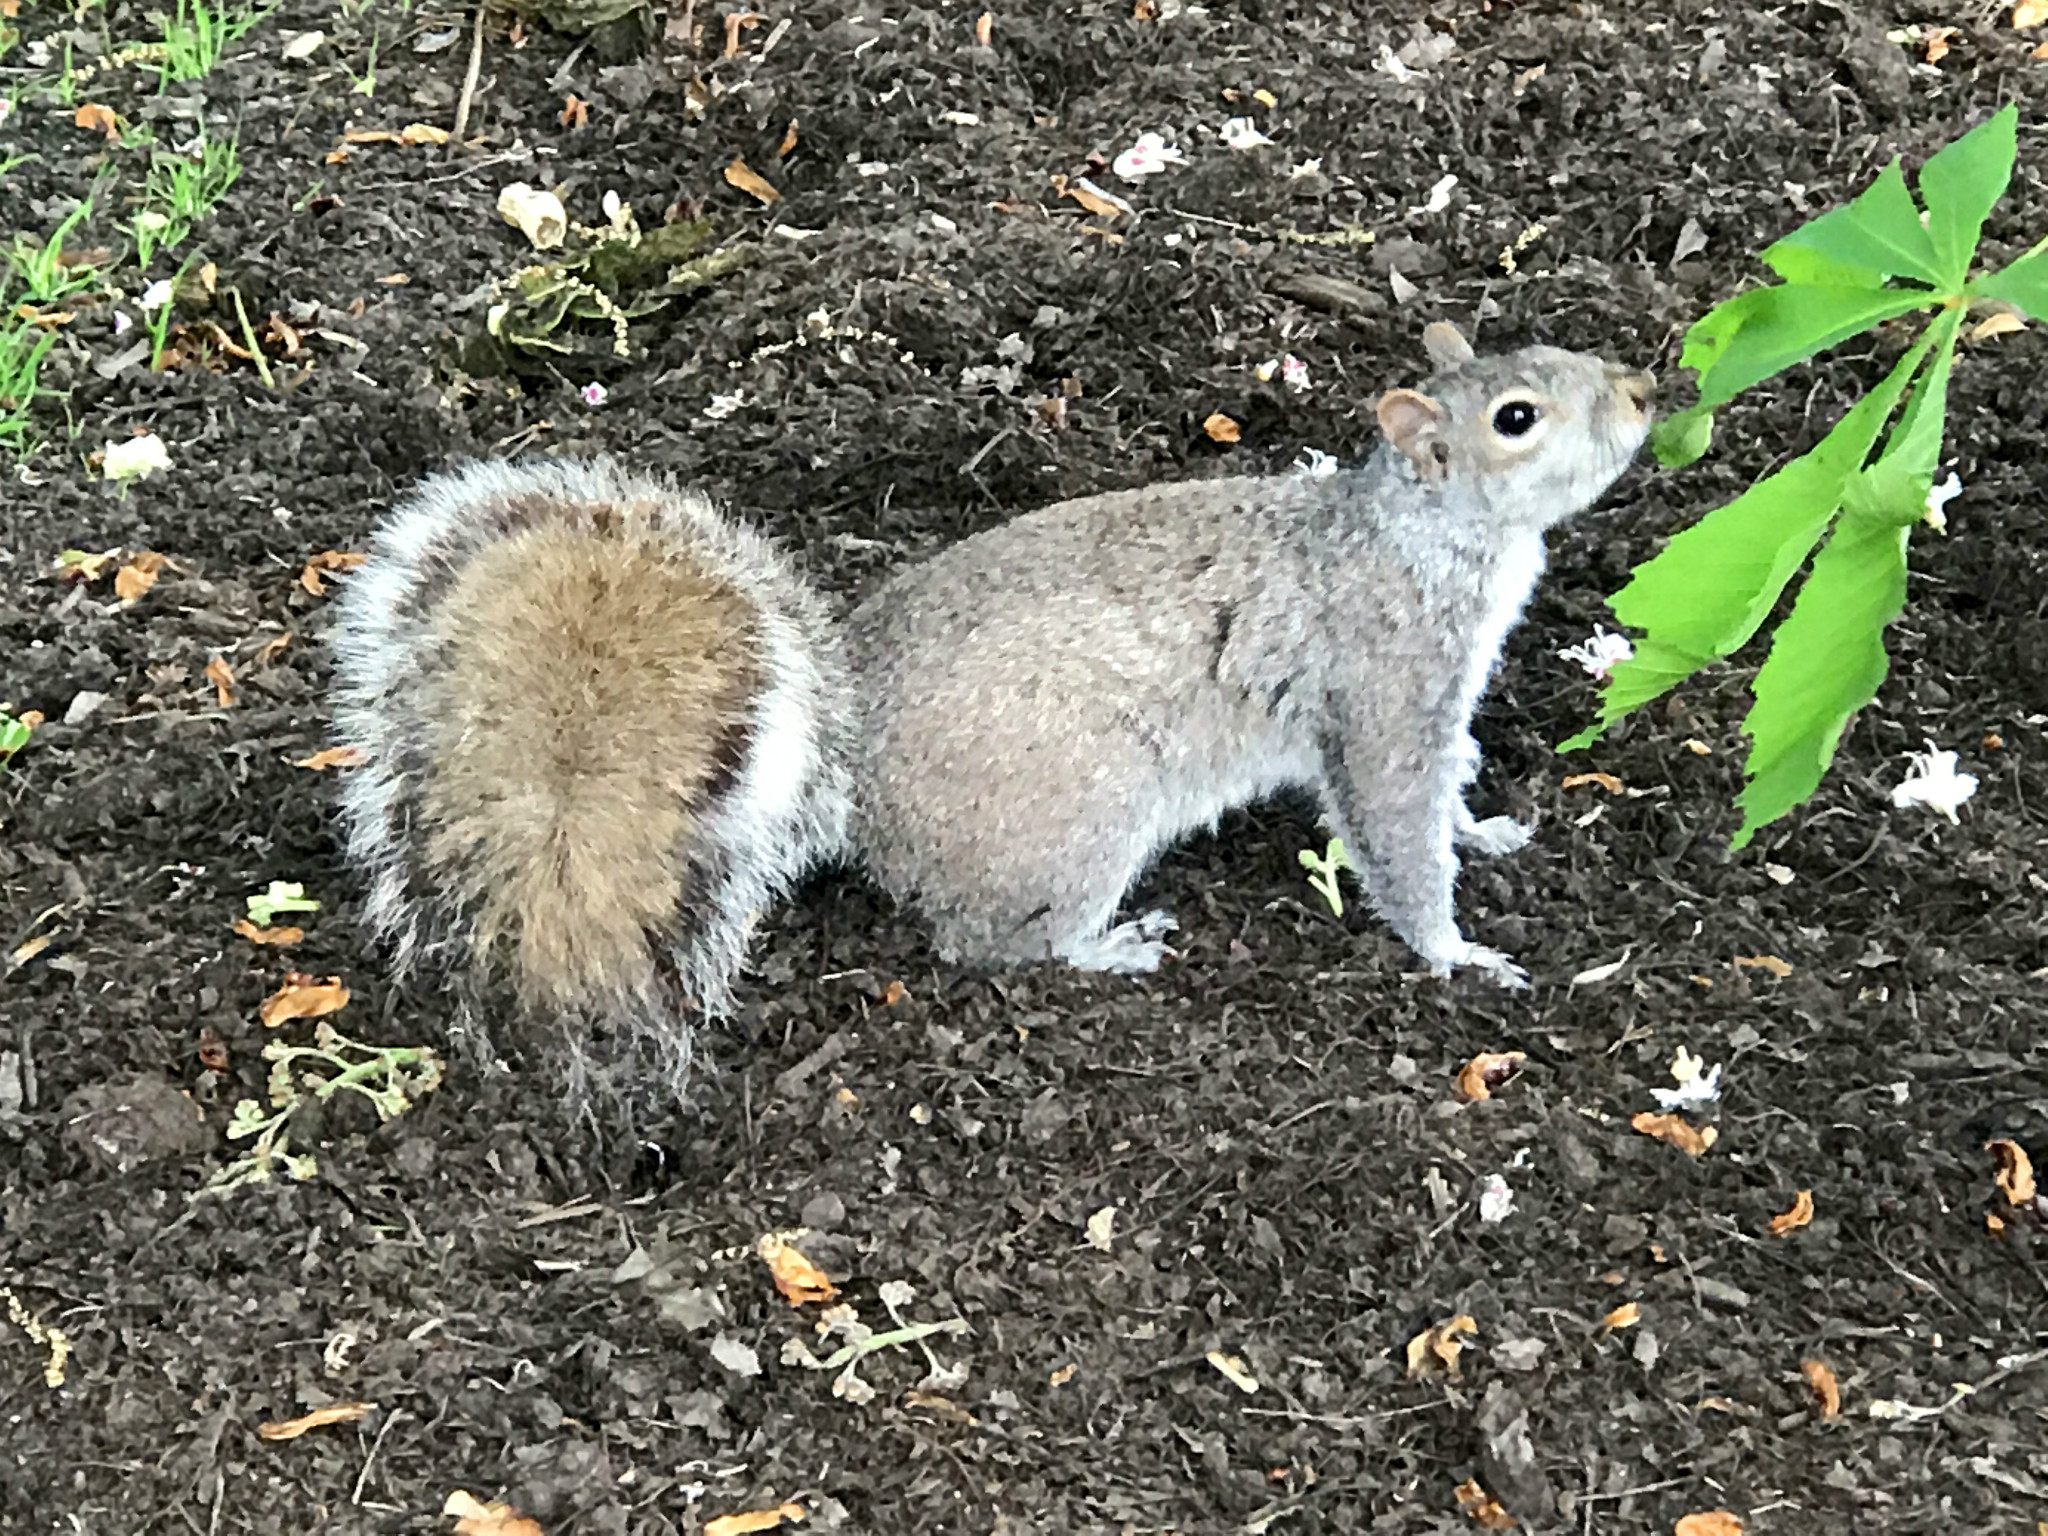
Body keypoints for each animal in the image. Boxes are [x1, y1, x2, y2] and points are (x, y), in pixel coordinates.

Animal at [327, 321, 1654, 1097]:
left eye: (1555, 345)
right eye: (1516, 419)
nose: (1645, 391)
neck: (1420, 535)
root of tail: (840, 767)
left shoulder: (1440, 698)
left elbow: (1451, 786)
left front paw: (1486, 831)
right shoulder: (1383, 684)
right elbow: (1392, 828)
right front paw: (1454, 951)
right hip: (1080, 812)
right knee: (992, 942)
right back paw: (1107, 947)